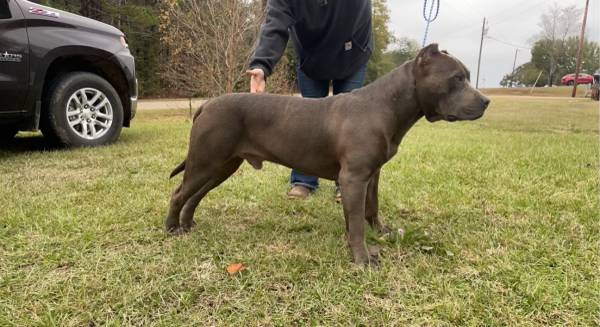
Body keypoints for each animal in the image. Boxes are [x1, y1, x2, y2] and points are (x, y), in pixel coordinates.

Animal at [164, 44, 488, 266]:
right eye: (457, 78)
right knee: (179, 193)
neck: (388, 105)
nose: (486, 101)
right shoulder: (354, 177)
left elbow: (369, 208)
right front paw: (363, 258)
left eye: (467, 77)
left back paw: (187, 224)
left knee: (194, 195)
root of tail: (207, 104)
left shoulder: (370, 175)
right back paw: (171, 229)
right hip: (206, 161)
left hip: (221, 165)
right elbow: (356, 221)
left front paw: (381, 231)